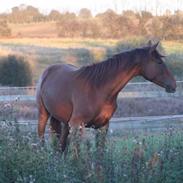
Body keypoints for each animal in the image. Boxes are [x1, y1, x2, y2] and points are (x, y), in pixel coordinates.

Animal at [36, 41, 176, 152]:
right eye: (159, 62)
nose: (173, 85)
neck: (98, 89)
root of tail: (48, 71)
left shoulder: (102, 126)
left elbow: (100, 153)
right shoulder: (77, 125)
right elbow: (77, 154)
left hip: (65, 122)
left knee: (61, 147)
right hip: (44, 115)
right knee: (42, 140)